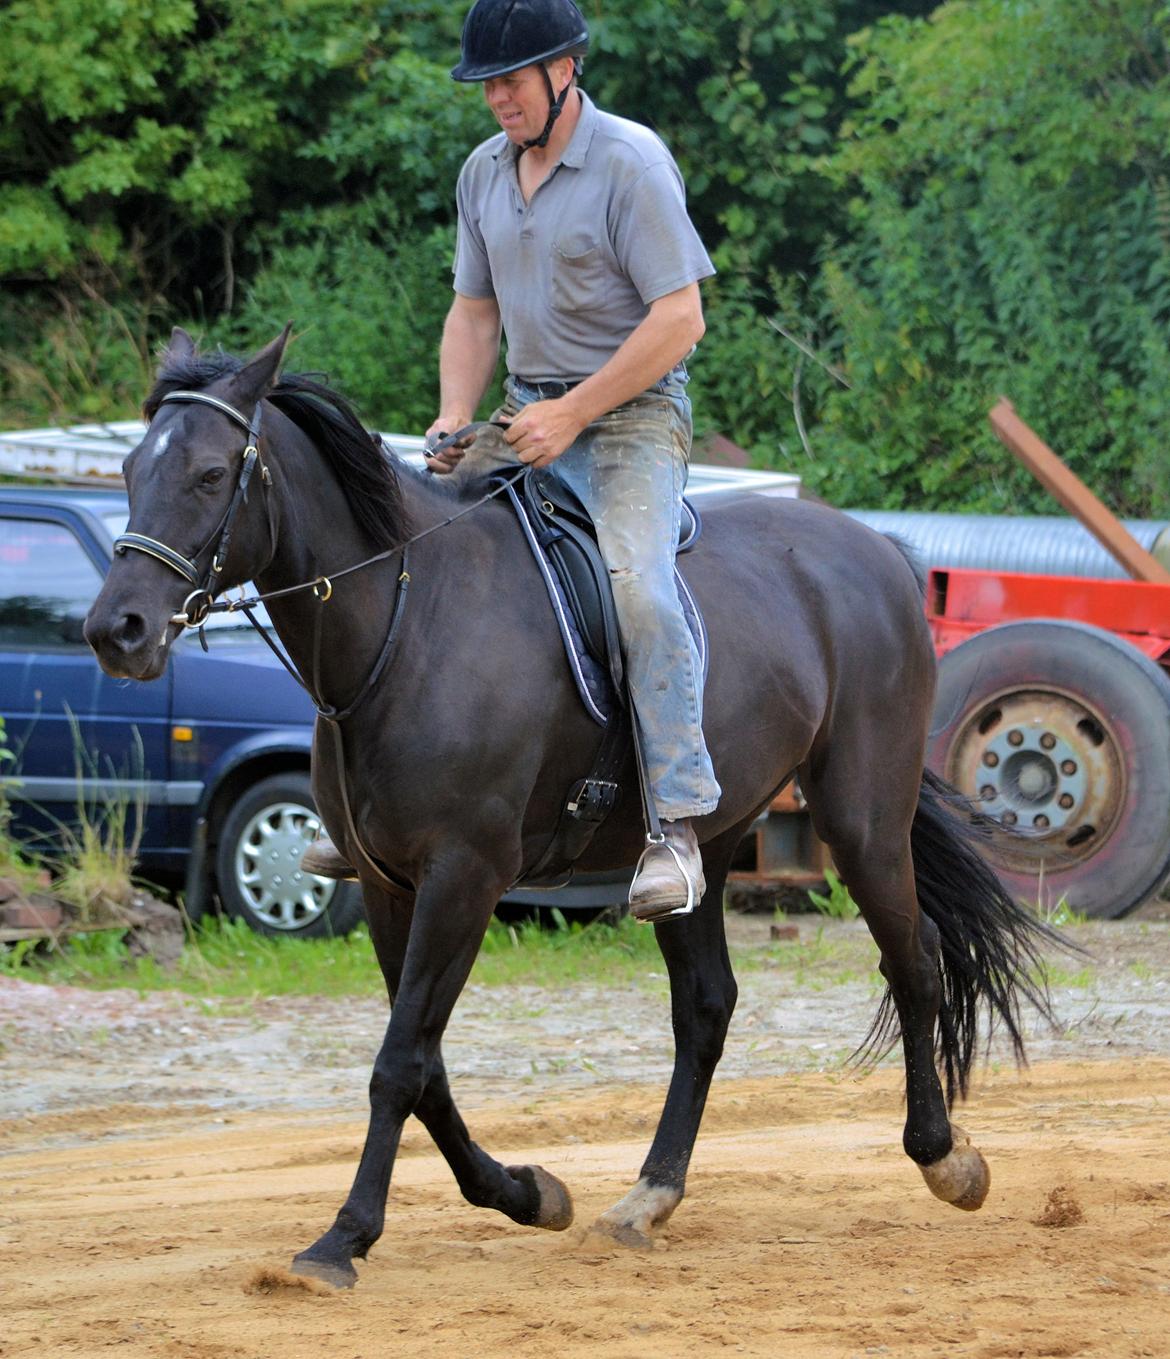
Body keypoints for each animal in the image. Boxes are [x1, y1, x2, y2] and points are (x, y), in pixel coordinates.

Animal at [84, 328, 1049, 1282]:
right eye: (131, 469)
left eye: (212, 474)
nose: (115, 630)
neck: (408, 623)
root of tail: (879, 550)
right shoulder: (391, 882)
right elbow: (426, 1062)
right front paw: (523, 1192)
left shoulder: (464, 876)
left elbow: (400, 1061)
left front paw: (343, 1237)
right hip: (708, 845)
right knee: (707, 1005)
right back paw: (650, 1193)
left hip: (862, 817)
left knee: (914, 960)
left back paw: (945, 1157)